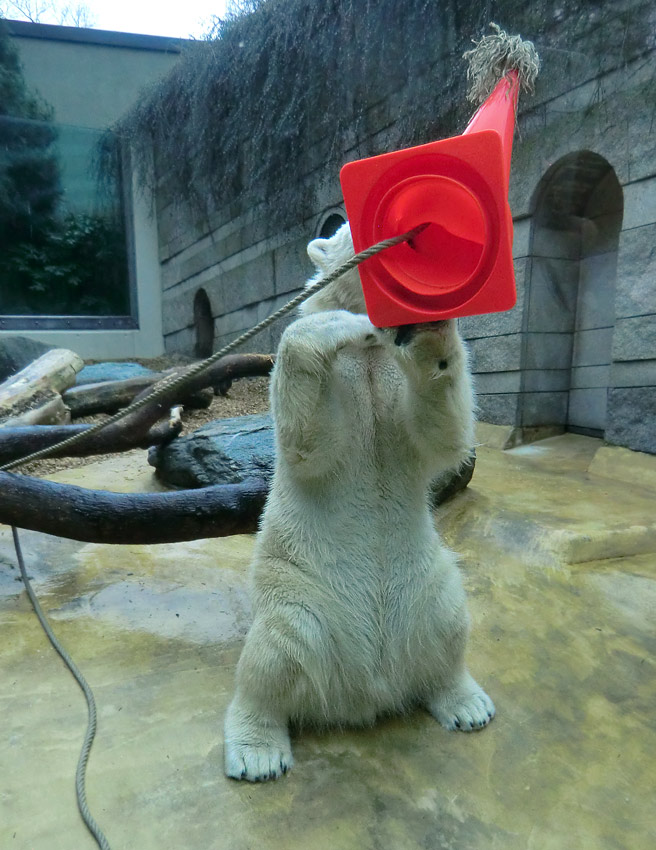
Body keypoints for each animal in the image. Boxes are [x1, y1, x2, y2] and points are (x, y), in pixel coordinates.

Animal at [223, 222, 494, 780]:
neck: (371, 355)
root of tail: (366, 691)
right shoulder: (343, 375)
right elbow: (311, 443)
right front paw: (341, 326)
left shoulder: (389, 378)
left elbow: (439, 436)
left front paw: (431, 332)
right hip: (299, 592)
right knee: (273, 655)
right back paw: (258, 751)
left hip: (426, 581)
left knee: (449, 622)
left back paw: (466, 703)